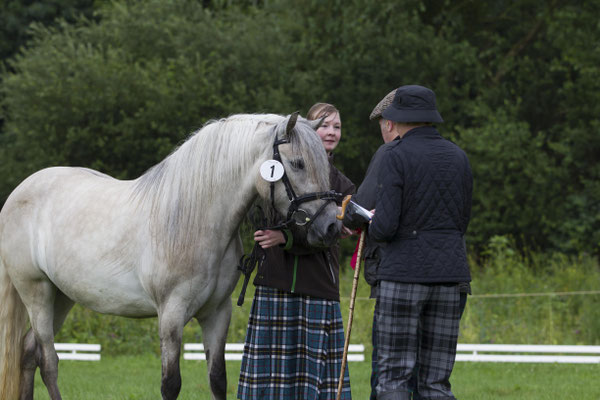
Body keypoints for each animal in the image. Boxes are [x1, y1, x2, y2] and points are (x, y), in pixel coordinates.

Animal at [0, 113, 340, 400]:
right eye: (297, 163)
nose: (331, 226)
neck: (193, 219)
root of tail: (18, 193)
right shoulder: (171, 315)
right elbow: (171, 384)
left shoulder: (217, 313)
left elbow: (218, 379)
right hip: (36, 292)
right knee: (48, 360)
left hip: (61, 296)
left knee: (28, 351)